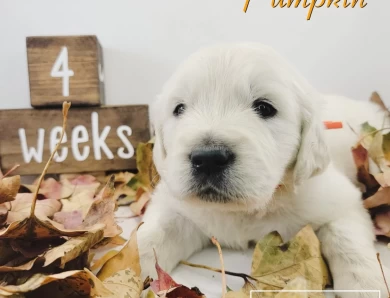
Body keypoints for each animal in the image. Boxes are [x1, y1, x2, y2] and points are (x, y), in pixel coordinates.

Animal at [139, 43, 388, 296]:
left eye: (264, 108)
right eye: (179, 109)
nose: (208, 159)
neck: (245, 210)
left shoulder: (340, 201)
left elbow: (346, 241)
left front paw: (367, 284)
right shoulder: (176, 206)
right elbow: (149, 238)